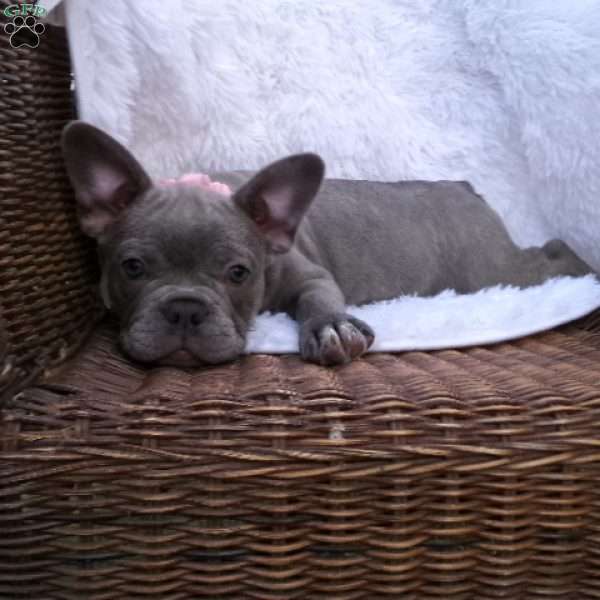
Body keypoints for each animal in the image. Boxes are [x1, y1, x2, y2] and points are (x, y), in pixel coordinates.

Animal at [62, 121, 596, 366]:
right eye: (132, 267)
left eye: (239, 273)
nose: (185, 309)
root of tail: (463, 187)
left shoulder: (310, 274)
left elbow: (319, 298)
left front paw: (330, 327)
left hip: (492, 267)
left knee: (546, 255)